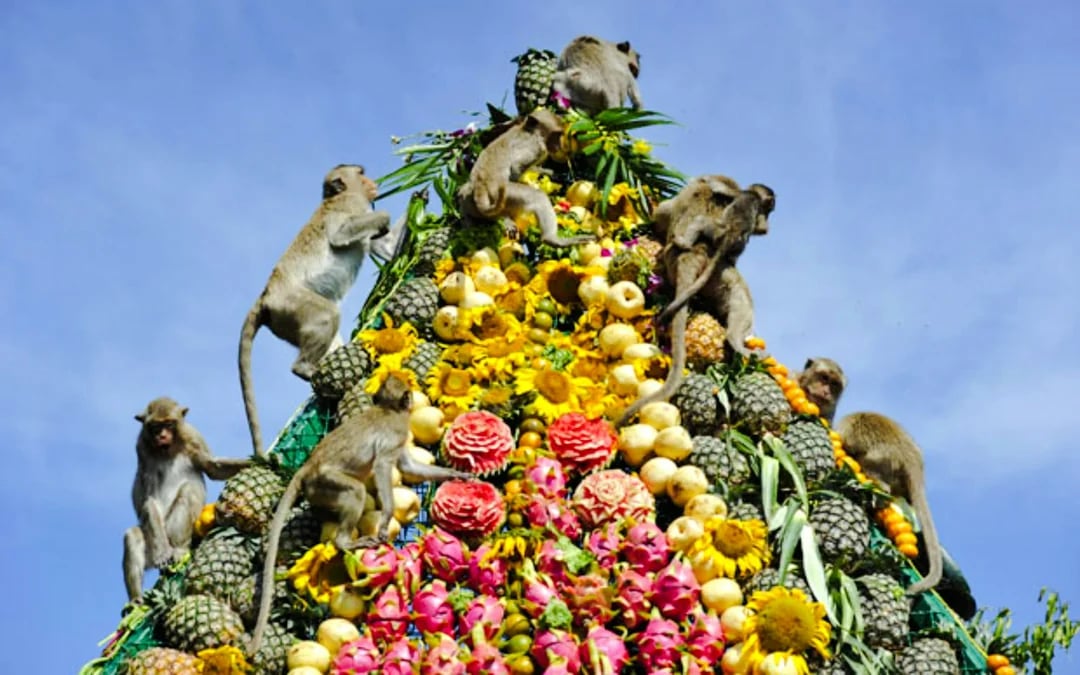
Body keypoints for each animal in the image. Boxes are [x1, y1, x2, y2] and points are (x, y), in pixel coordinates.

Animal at [123, 397, 250, 602]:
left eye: (169, 424)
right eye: (155, 427)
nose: (162, 436)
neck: (167, 449)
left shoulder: (193, 436)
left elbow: (212, 467)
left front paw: (263, 461)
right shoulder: (141, 447)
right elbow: (149, 499)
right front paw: (162, 552)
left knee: (188, 491)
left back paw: (179, 549)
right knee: (133, 536)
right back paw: (136, 600)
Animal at [239, 164, 393, 456]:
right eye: (360, 173)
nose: (373, 182)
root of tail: (266, 296)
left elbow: (385, 250)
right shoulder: (351, 204)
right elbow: (341, 235)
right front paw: (385, 218)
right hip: (293, 304)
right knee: (328, 315)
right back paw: (304, 369)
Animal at [249, 375, 472, 653]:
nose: (412, 398)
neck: (389, 409)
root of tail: (308, 465)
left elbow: (409, 466)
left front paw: (457, 474)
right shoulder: (398, 431)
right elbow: (384, 465)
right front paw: (386, 517)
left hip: (317, 490)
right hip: (325, 480)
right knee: (356, 490)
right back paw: (345, 542)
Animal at [457, 108, 593, 248]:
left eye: (560, 135)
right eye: (556, 135)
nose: (558, 146)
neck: (528, 129)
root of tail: (480, 188)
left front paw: (552, 173)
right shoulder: (536, 147)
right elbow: (516, 167)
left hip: (472, 201)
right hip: (505, 194)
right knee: (537, 197)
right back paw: (551, 239)